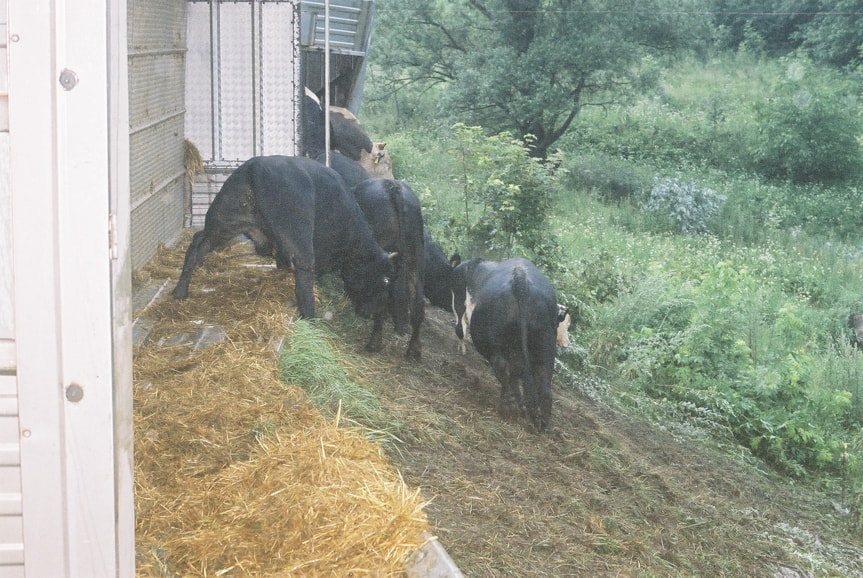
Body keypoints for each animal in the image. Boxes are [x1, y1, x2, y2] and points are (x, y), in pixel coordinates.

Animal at [170, 154, 398, 338]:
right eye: (384, 280)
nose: (372, 313)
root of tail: (257, 167)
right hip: (298, 238)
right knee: (304, 280)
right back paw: (311, 322)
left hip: (223, 221)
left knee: (198, 245)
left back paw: (180, 291)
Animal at [352, 178, 426, 360]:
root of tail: (393, 188)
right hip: (416, 259)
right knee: (418, 303)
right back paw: (413, 350)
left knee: (383, 297)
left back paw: (374, 342)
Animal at [448, 258, 564, 432]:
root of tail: (520, 280)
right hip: (545, 346)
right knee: (543, 380)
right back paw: (542, 421)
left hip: (495, 344)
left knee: (502, 367)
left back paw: (508, 406)